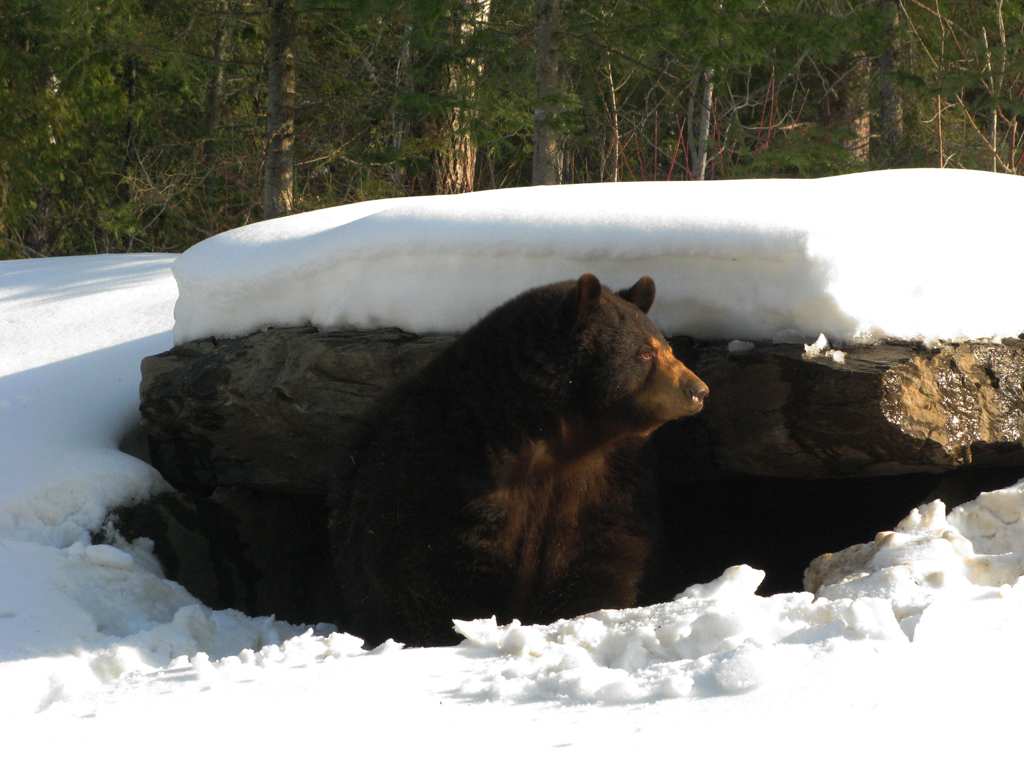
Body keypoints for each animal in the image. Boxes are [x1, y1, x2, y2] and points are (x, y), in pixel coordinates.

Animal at [331, 274, 708, 647]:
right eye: (645, 353)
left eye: (667, 348)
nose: (698, 390)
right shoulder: (452, 468)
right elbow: (435, 565)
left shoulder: (611, 477)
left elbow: (606, 547)